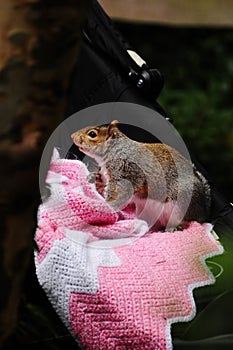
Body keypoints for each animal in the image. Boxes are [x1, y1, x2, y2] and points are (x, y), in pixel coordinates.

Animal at [71, 120, 211, 230]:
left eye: (92, 134)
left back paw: (173, 227)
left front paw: (105, 206)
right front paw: (92, 177)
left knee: (185, 220)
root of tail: (203, 212)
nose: (72, 136)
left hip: (181, 202)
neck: (115, 150)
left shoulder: (126, 173)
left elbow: (120, 195)